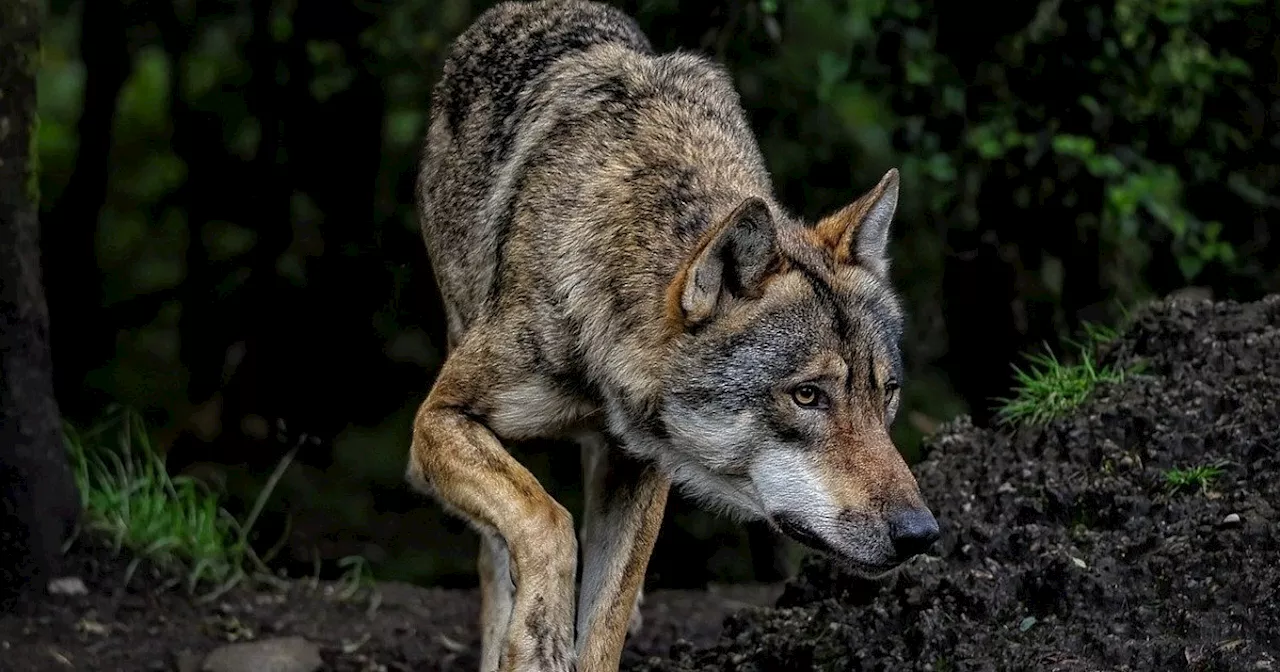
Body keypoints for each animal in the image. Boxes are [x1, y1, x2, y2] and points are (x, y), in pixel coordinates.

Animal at [407, 0, 942, 665]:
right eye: (807, 396)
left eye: (886, 393)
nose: (921, 534)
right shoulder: (436, 421)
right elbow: (546, 521)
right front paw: (539, 635)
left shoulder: (641, 467)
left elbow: (603, 623)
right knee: (498, 551)